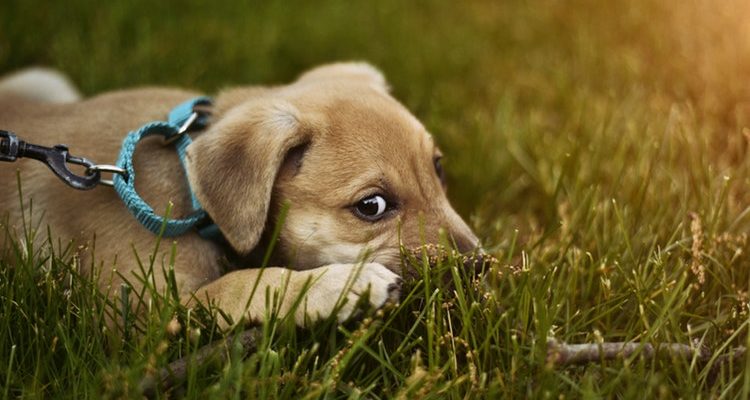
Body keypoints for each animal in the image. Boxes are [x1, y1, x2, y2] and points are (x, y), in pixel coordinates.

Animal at [0, 63, 482, 328]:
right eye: (372, 206)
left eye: (438, 168)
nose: (478, 267)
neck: (189, 192)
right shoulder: (140, 318)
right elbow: (242, 284)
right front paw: (341, 285)